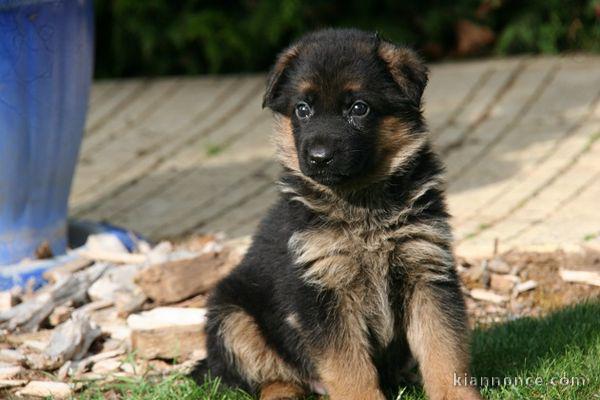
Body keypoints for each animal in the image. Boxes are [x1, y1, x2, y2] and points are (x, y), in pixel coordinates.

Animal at [197, 28, 482, 400]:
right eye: (302, 109)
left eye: (358, 108)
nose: (319, 158)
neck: (361, 204)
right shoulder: (323, 290)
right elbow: (349, 368)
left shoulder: (427, 271)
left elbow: (444, 350)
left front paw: (455, 395)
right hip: (231, 314)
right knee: (270, 376)